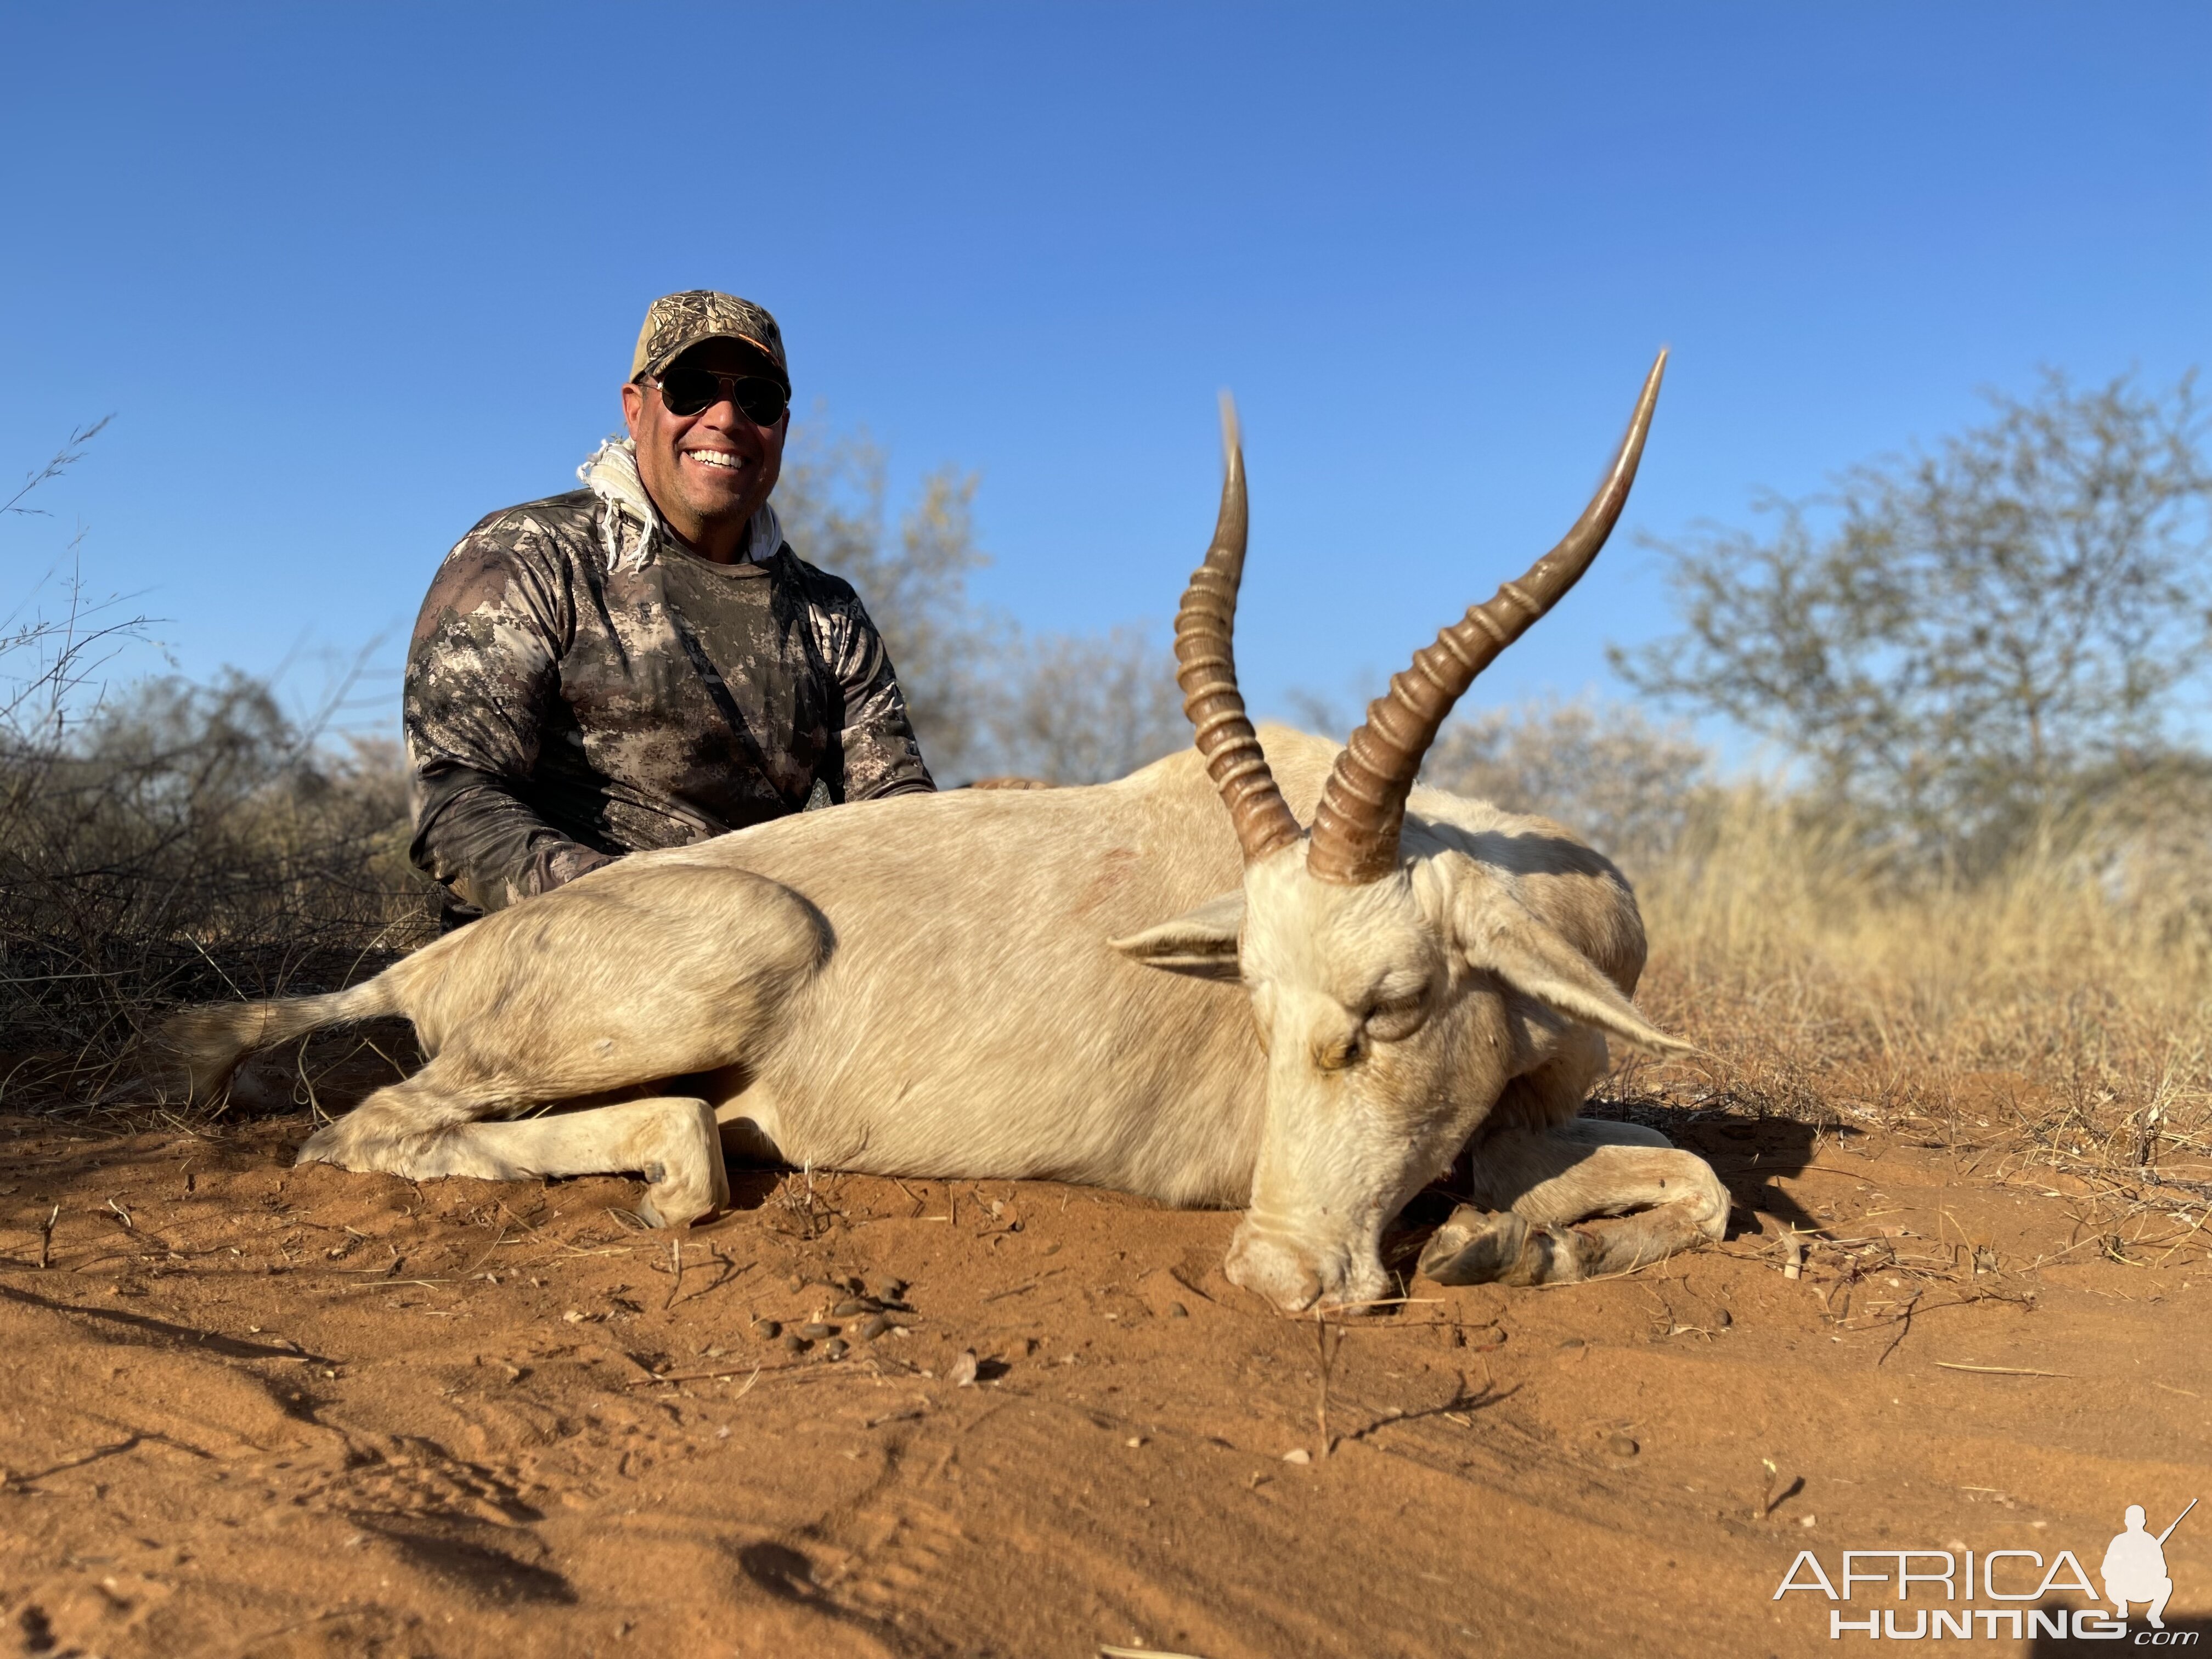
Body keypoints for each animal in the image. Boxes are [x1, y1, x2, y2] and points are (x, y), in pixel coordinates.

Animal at [172, 354, 1725, 1309]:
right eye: (1258, 1008)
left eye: (1393, 1005)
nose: (1274, 1277)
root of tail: (449, 956)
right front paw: (1486, 1245)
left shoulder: (1518, 1118)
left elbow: (1701, 1181)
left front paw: (1502, 1245)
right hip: (712, 961)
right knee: (372, 1127)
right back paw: (676, 1173)